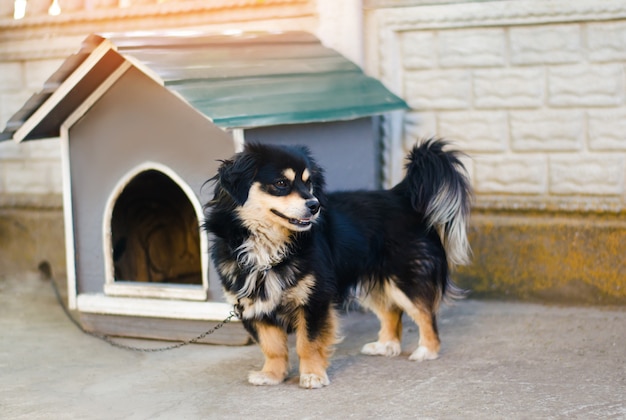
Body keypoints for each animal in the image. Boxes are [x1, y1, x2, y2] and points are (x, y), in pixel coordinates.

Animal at [202, 139, 470, 388]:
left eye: (309, 183)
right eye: (281, 183)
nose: (315, 205)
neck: (269, 245)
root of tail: (400, 194)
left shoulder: (314, 299)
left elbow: (307, 343)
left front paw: (312, 375)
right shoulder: (254, 304)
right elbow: (272, 346)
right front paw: (272, 375)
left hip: (404, 279)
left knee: (424, 314)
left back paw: (427, 350)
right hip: (372, 281)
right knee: (391, 312)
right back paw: (386, 345)